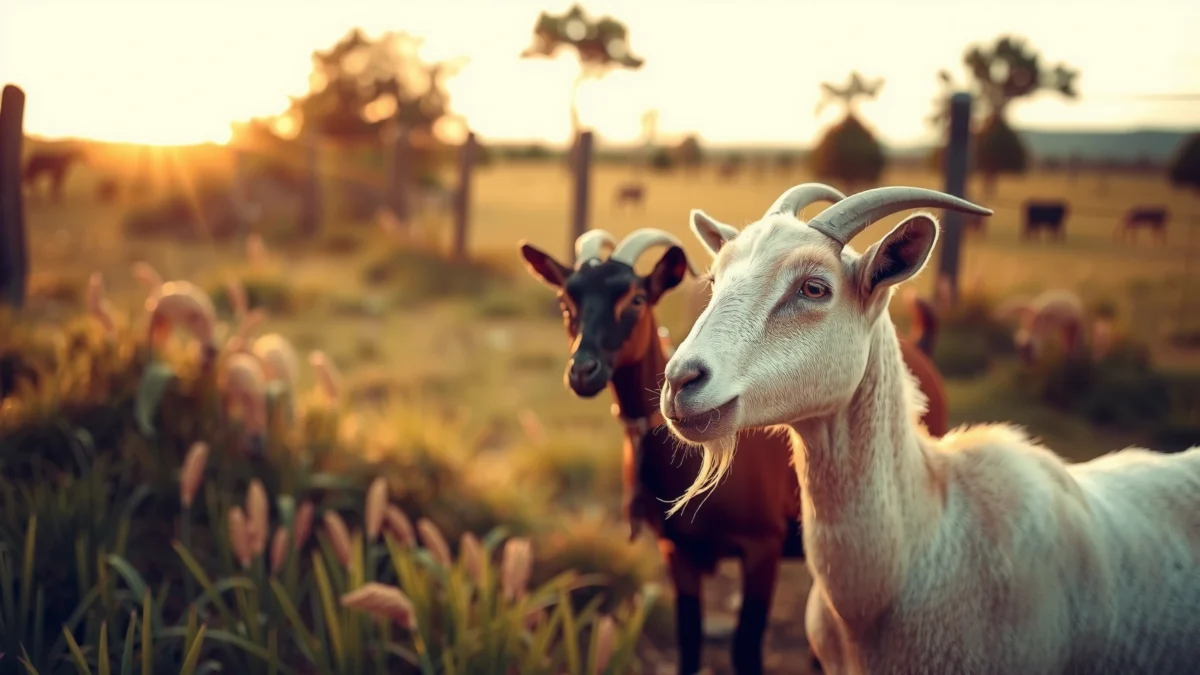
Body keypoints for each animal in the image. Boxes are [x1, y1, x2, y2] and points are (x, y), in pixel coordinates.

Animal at [518, 202, 949, 675]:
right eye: (566, 300)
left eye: (635, 299)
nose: (583, 370)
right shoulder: (677, 550)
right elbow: (689, 642)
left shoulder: (763, 545)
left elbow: (745, 647)